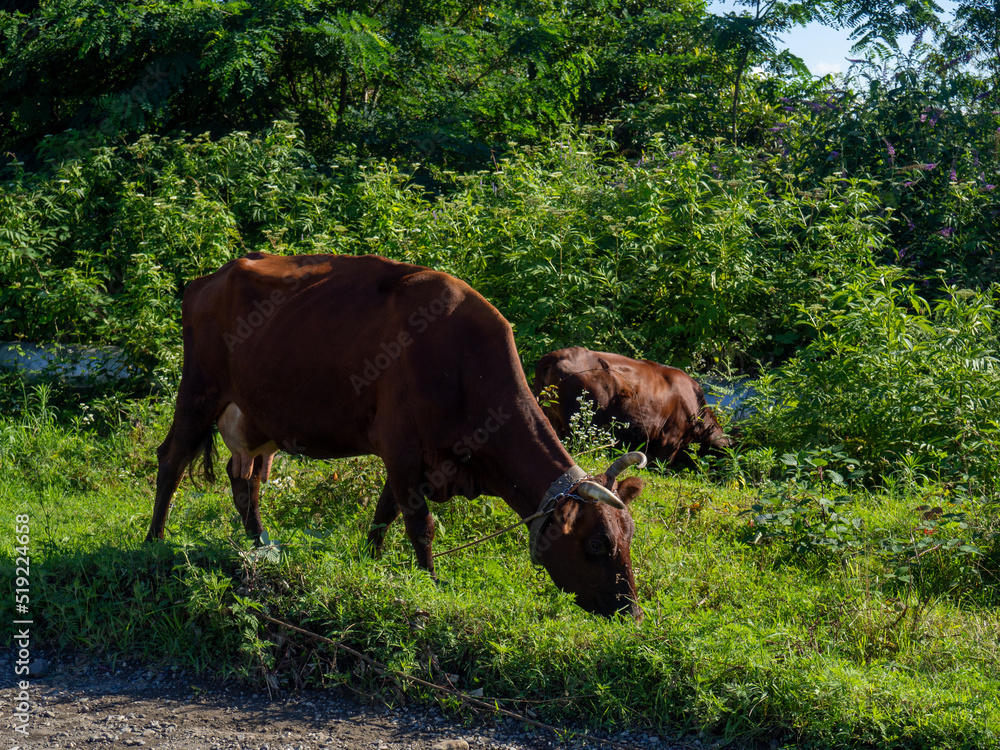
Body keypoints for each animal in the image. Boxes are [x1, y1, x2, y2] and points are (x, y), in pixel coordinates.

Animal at [146, 256, 648, 620]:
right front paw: (429, 582)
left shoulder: (410, 460)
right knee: (171, 458)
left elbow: (384, 514)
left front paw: (369, 566)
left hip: (255, 419)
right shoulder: (401, 447)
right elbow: (419, 524)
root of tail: (209, 278)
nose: (633, 614)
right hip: (199, 390)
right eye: (597, 544)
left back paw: (261, 546)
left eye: (629, 539)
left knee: (245, 480)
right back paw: (155, 540)